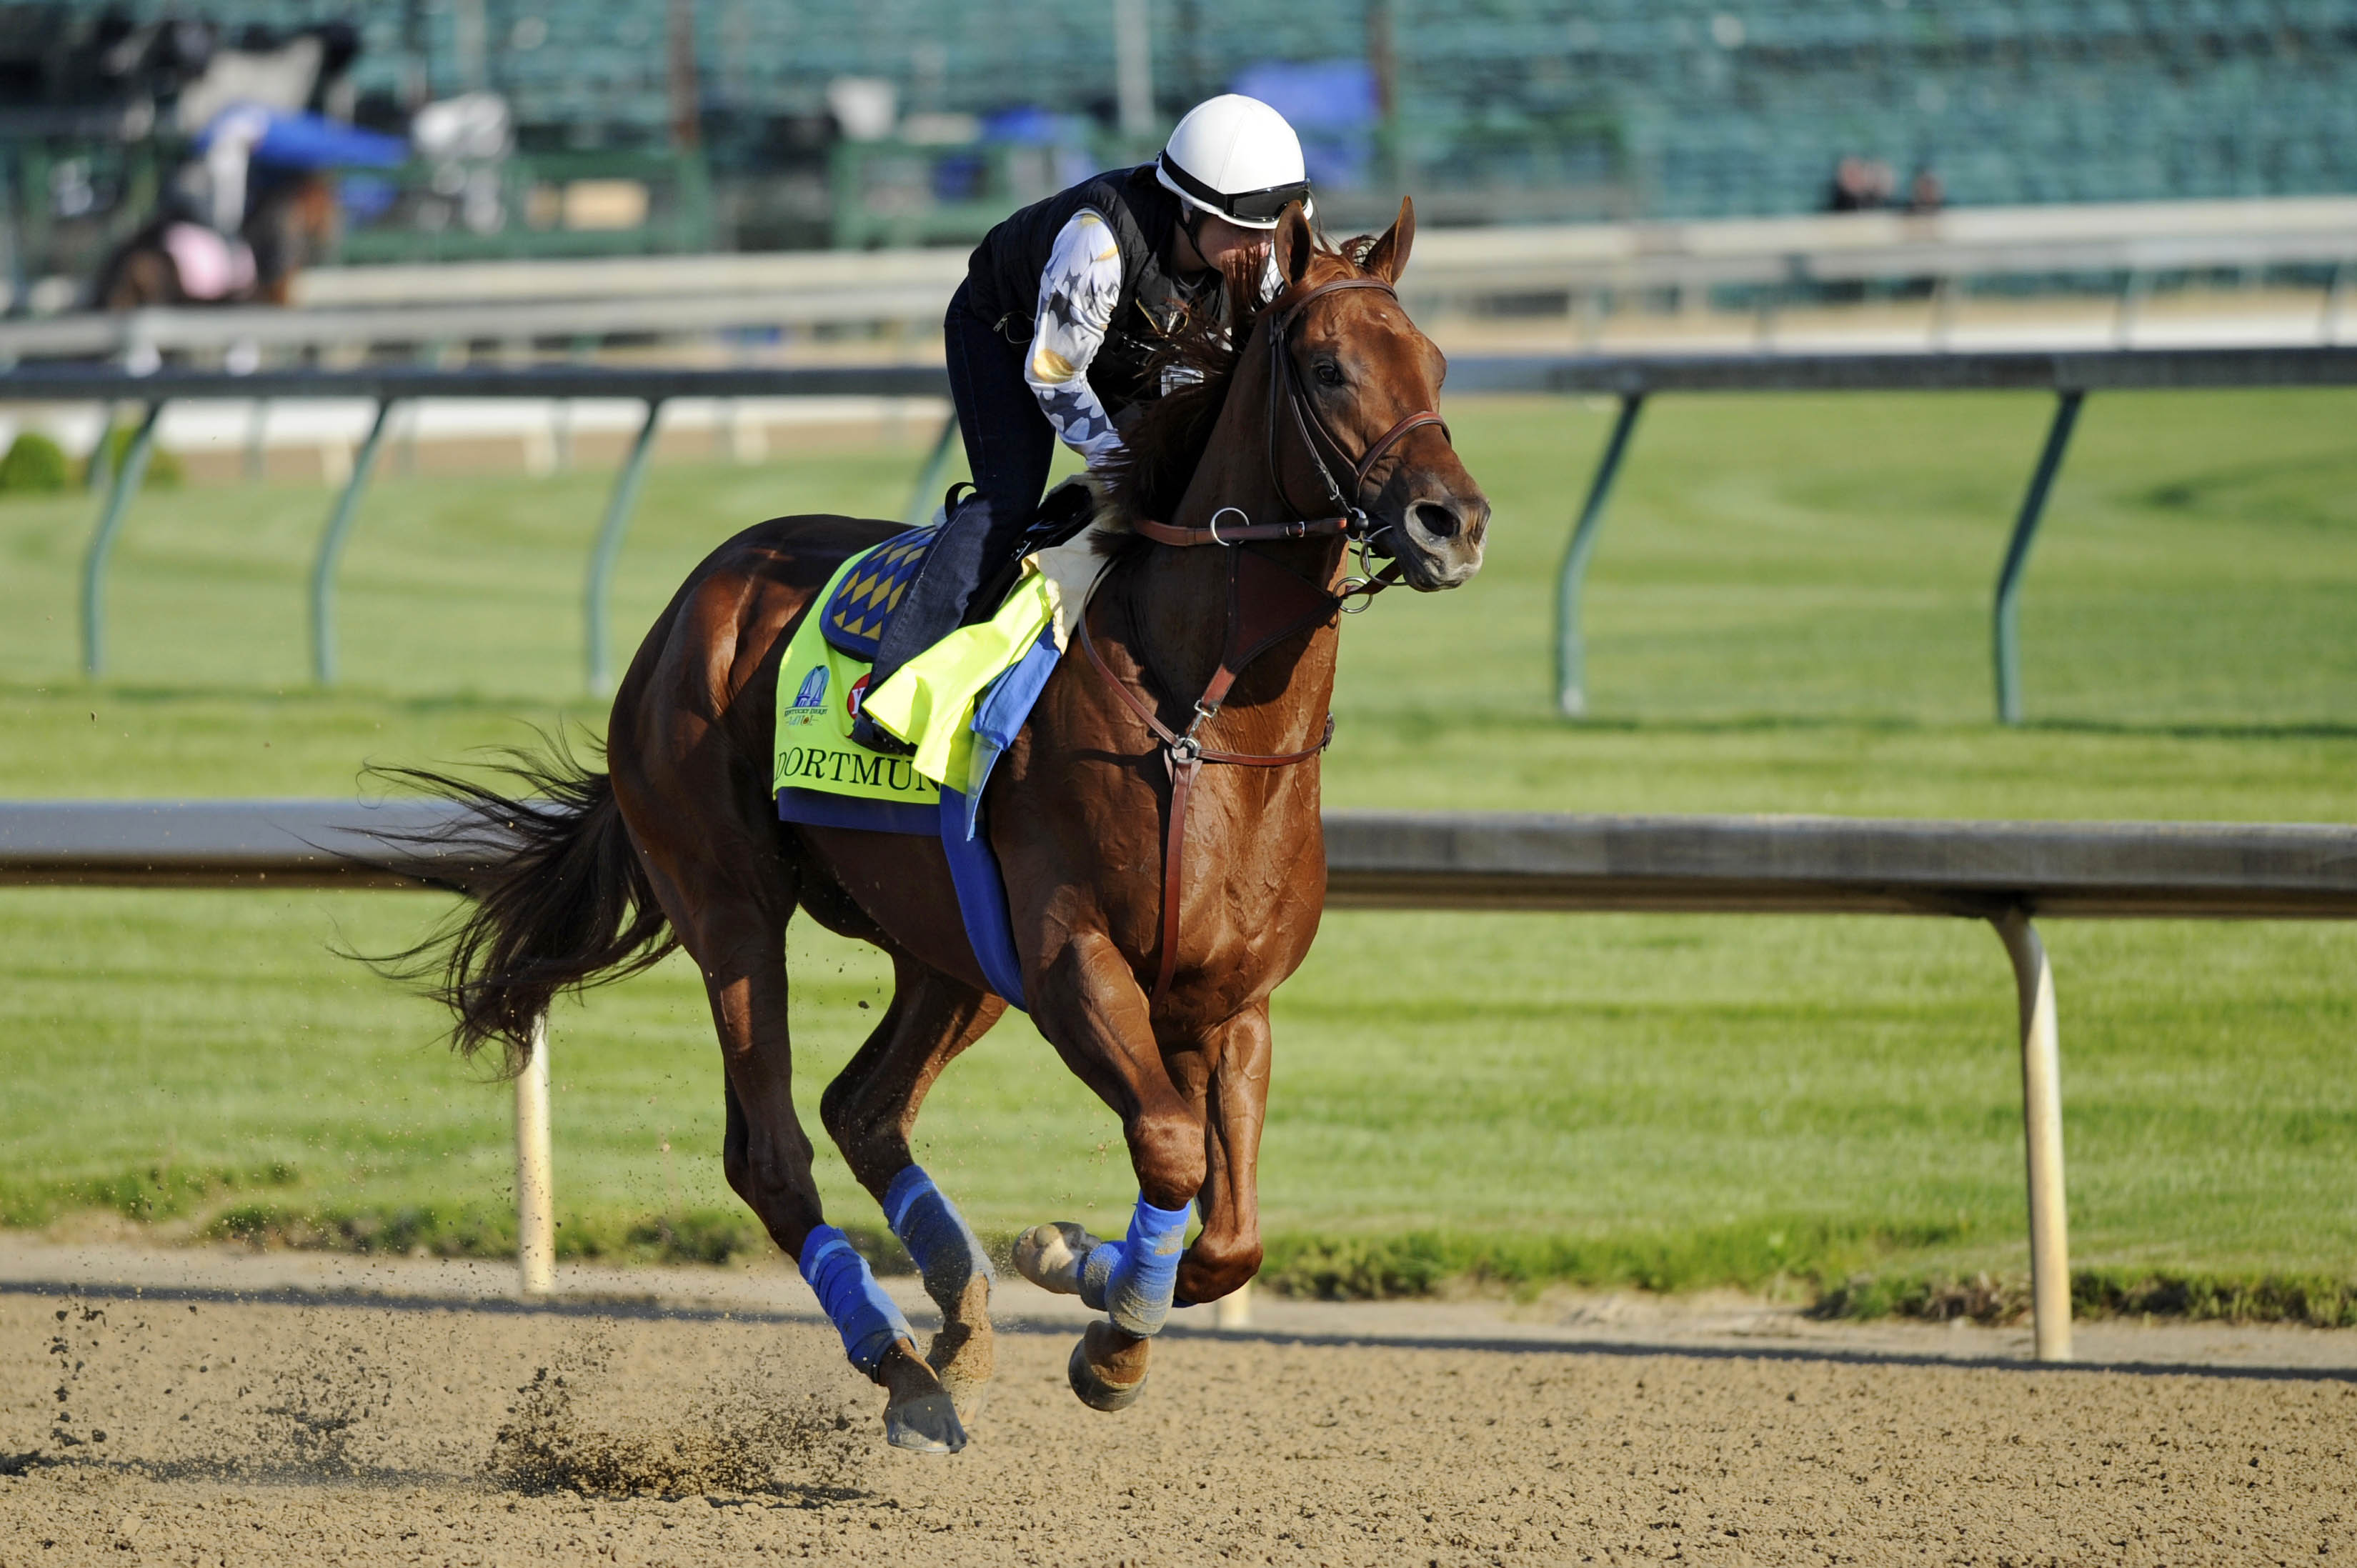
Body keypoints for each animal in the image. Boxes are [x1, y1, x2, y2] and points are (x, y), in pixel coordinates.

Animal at [387, 199, 1489, 1452]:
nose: (1452, 522)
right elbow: (1168, 1150)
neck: (1193, 714)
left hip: (948, 949)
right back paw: (902, 1363)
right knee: (772, 1151)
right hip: (730, 901)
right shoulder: (1070, 962)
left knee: (863, 1109)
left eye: (1435, 363)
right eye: (1327, 366)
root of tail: (687, 606)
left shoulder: (1228, 999)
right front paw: (1103, 1328)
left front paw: (1078, 1265)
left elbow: (1227, 1227)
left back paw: (959, 1319)